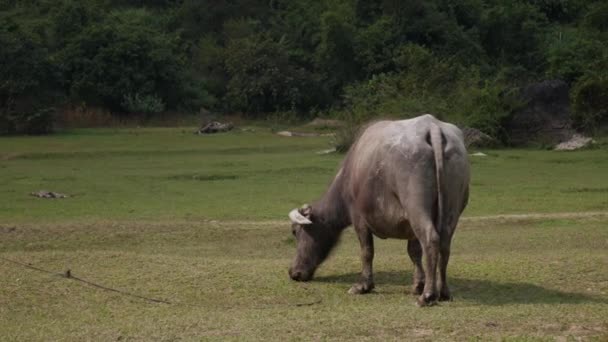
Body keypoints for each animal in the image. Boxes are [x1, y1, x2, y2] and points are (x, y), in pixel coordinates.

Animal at [286, 113, 470, 306]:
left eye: (295, 231)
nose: (293, 272)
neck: (349, 174)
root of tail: (432, 127)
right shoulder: (410, 229)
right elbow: (414, 252)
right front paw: (418, 284)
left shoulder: (359, 219)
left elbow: (367, 251)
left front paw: (363, 285)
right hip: (452, 209)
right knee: (444, 243)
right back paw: (443, 291)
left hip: (416, 207)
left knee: (430, 239)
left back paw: (427, 296)